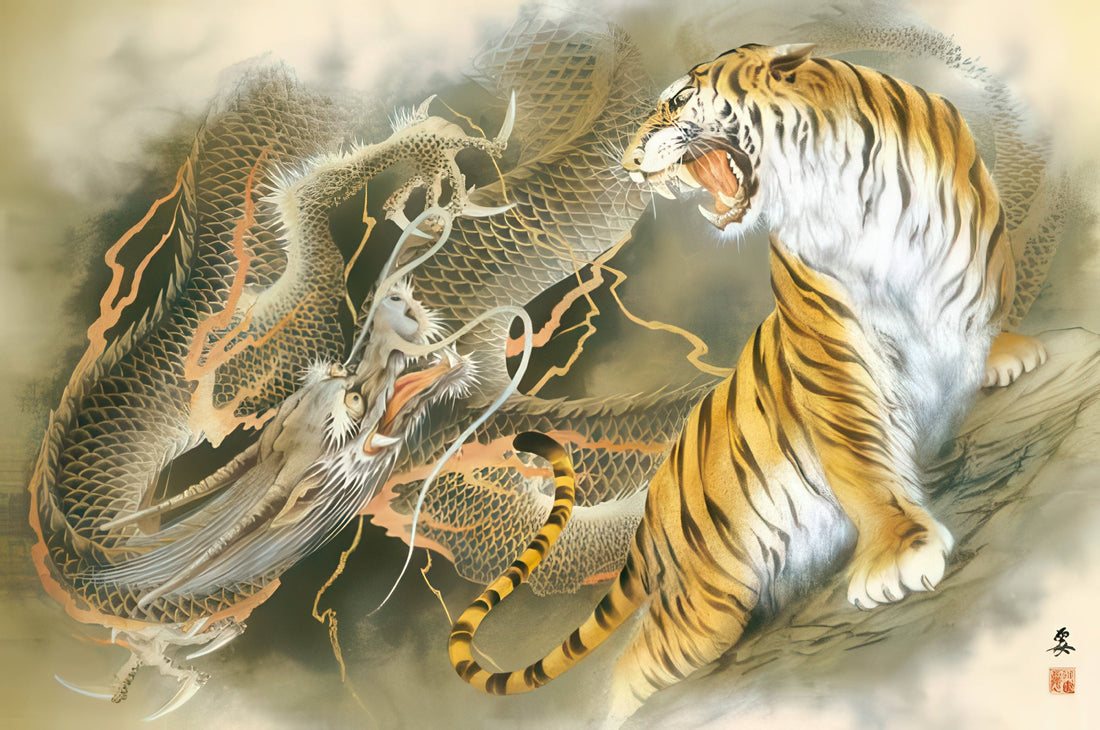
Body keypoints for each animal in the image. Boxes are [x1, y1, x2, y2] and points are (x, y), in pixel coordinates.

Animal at [448, 43, 1047, 721]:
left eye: (680, 99)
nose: (625, 162)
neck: (848, 190)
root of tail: (648, 523)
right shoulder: (831, 349)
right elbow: (861, 460)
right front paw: (900, 551)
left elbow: (984, 305)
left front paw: (1007, 354)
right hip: (705, 608)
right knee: (634, 665)